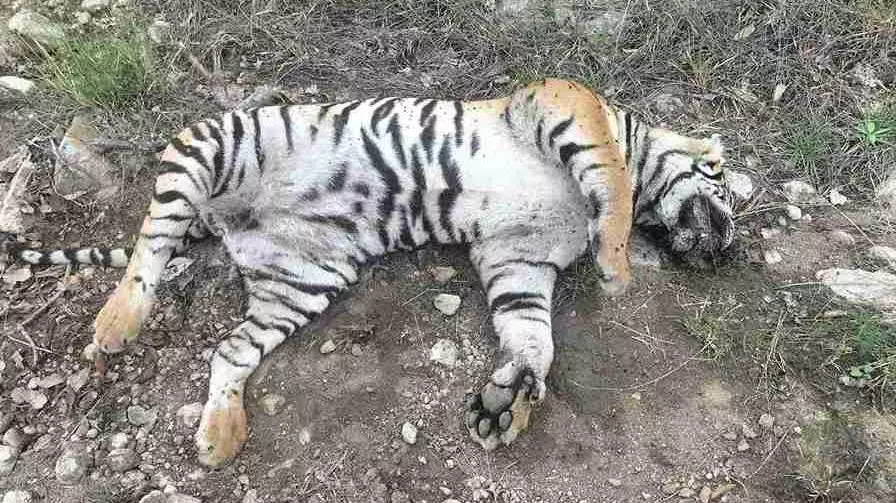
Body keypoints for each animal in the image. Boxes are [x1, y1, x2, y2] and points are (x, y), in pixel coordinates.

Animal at [5, 78, 735, 467]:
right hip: (213, 144)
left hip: (302, 279)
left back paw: (220, 436)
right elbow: (611, 179)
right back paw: (117, 323)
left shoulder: (517, 259)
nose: (727, 250)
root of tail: (226, 222)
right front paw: (616, 264)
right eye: (726, 186)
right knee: (149, 242)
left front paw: (510, 401)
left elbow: (533, 337)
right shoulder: (563, 102)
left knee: (229, 351)